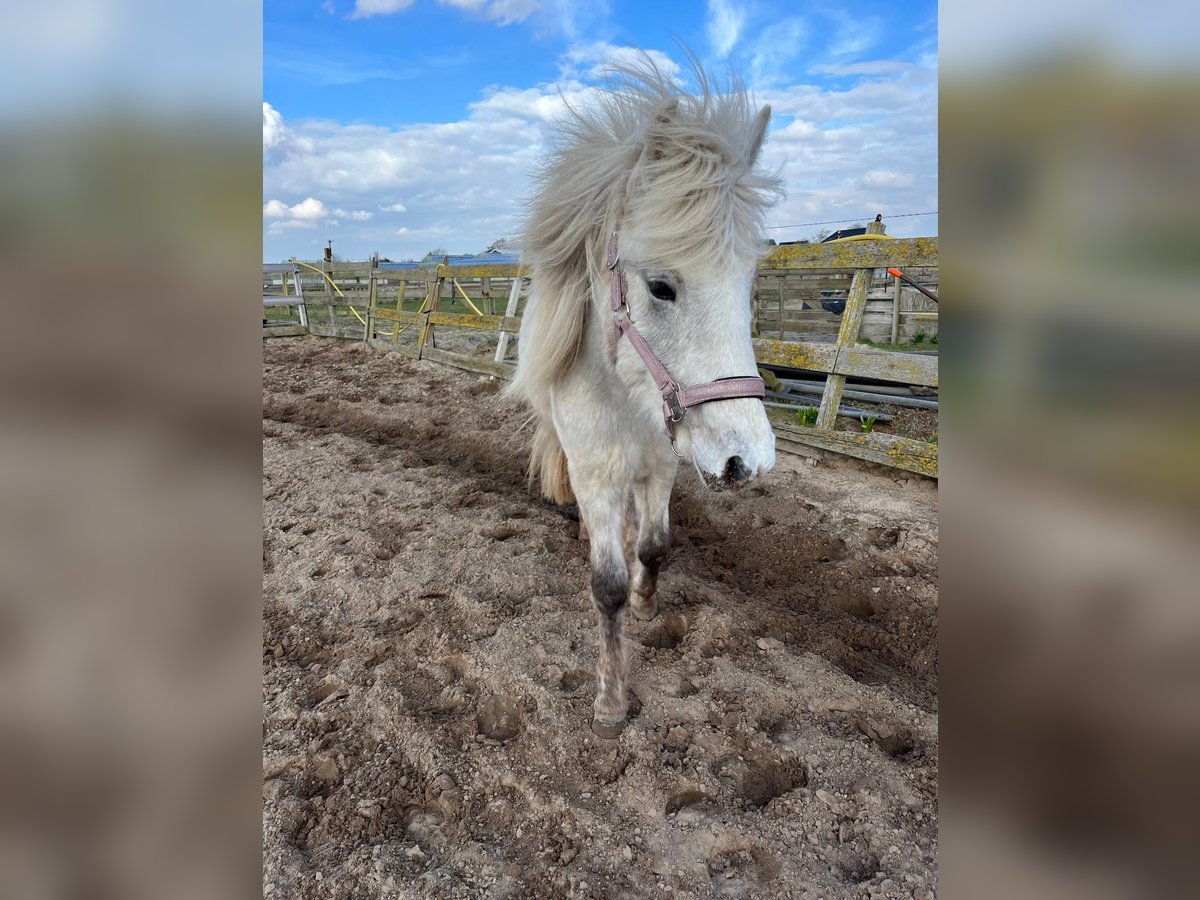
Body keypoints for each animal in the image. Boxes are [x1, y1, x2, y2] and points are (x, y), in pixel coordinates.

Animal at [511, 59, 782, 737]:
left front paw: (647, 603)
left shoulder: (661, 467)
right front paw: (611, 702)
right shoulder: (597, 473)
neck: (628, 399)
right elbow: (603, 586)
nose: (747, 460)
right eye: (661, 286)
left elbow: (655, 547)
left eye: (748, 284)